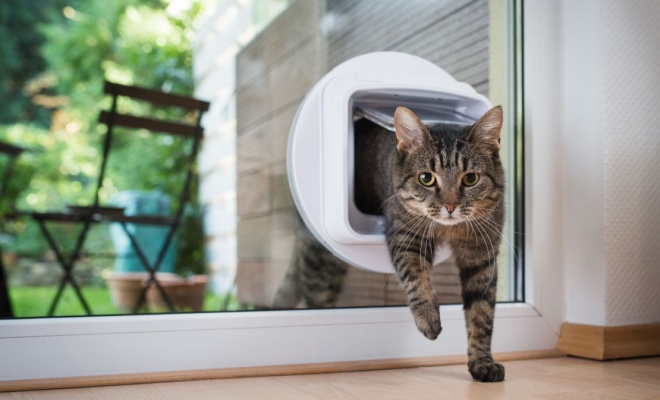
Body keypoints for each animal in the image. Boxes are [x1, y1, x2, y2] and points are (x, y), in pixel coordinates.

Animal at [274, 105, 506, 382]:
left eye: (471, 178)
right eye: (426, 178)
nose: (450, 206)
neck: (448, 230)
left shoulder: (482, 256)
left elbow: (481, 314)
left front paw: (482, 362)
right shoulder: (406, 237)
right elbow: (416, 278)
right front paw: (428, 318)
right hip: (321, 263)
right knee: (317, 299)